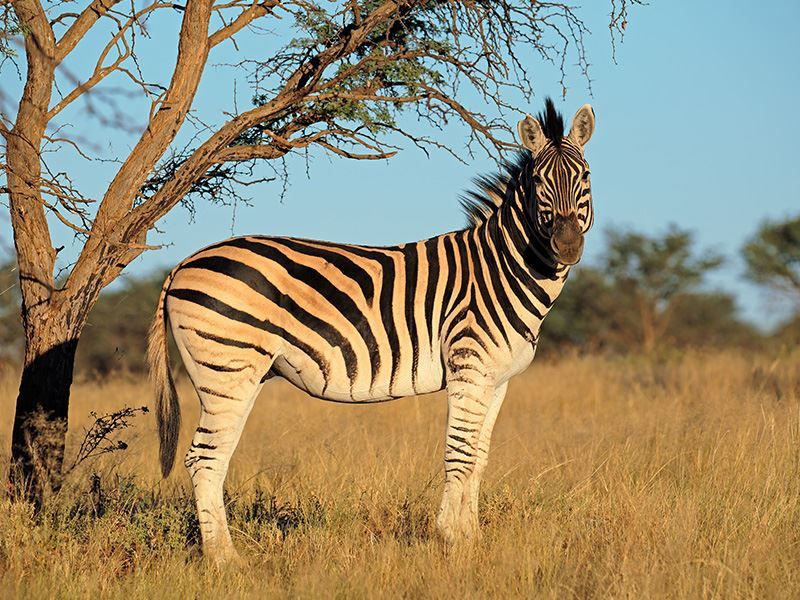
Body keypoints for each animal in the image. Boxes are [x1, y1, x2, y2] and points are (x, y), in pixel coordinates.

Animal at [147, 99, 595, 564]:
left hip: (239, 374)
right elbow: (459, 454)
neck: (501, 269)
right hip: (226, 369)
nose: (567, 246)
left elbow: (479, 458)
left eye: (585, 177)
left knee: (211, 458)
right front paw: (451, 538)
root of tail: (183, 264)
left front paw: (472, 540)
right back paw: (225, 560)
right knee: (204, 459)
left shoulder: (497, 380)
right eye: (539, 182)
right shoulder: (467, 368)